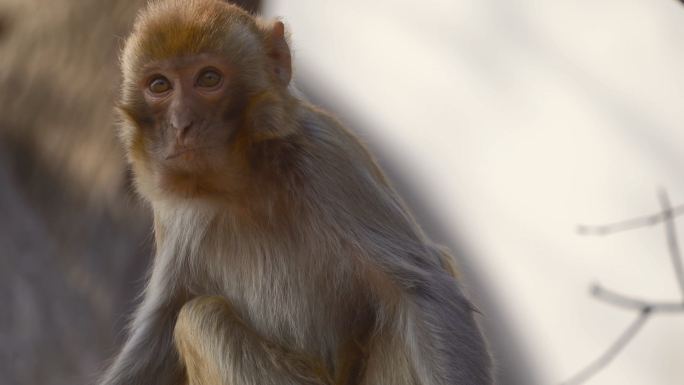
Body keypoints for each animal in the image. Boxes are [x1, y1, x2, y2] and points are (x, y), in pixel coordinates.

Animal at [100, 0, 492, 382]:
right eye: (159, 86)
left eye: (208, 79)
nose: (181, 125)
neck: (244, 183)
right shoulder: (175, 213)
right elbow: (161, 329)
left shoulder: (328, 158)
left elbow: (424, 290)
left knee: (202, 318)